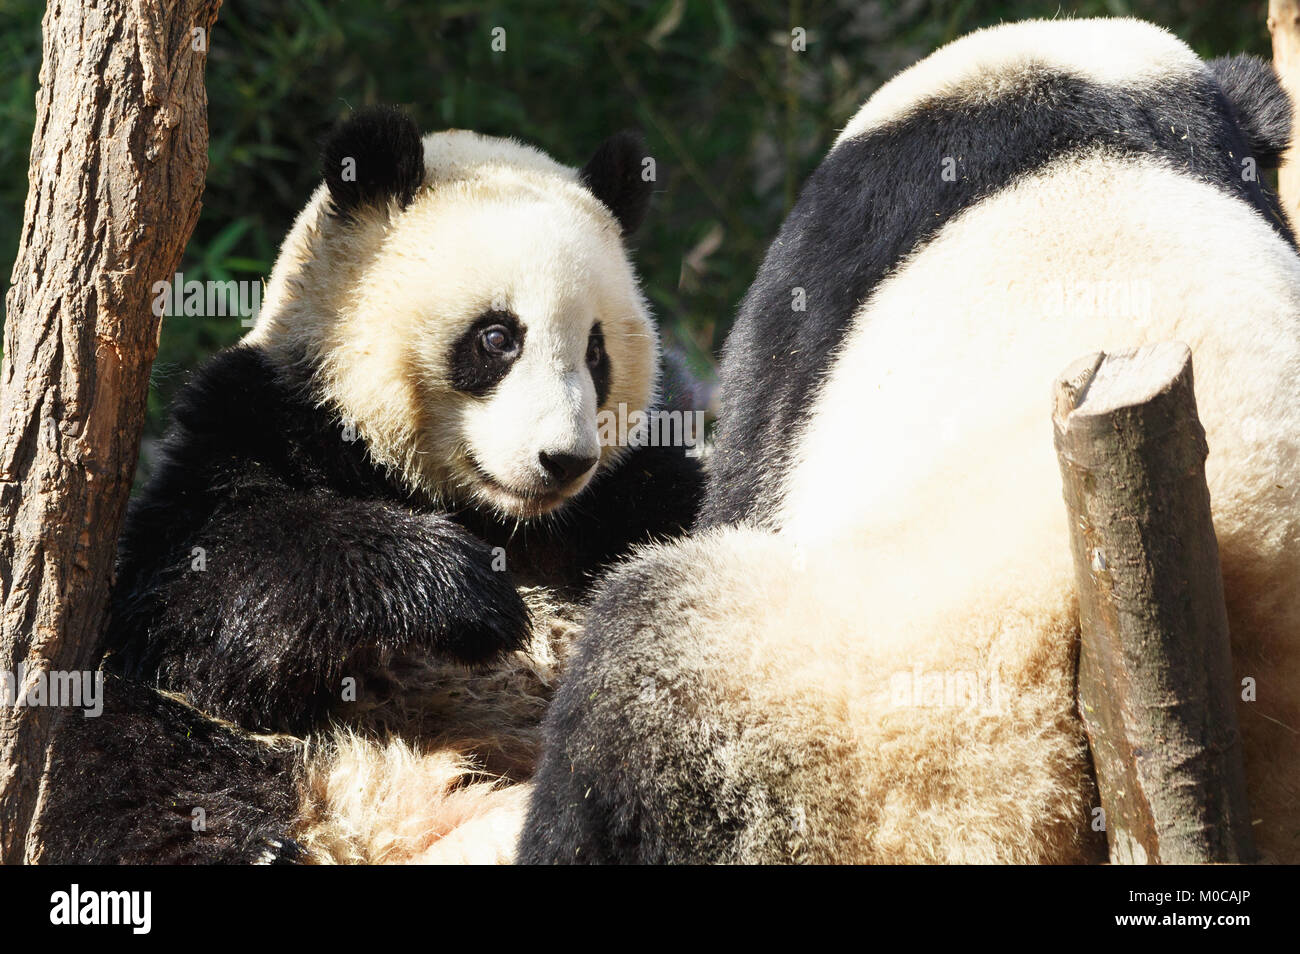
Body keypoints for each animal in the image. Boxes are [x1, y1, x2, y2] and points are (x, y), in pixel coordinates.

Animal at [40, 106, 707, 868]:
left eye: (596, 351)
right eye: (497, 337)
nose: (563, 460)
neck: (494, 515)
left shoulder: (628, 498)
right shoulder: (266, 417)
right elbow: (188, 594)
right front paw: (464, 592)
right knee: (123, 754)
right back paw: (255, 845)